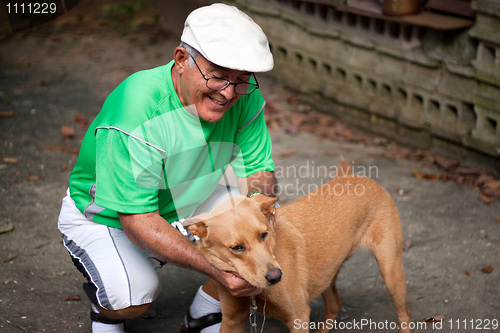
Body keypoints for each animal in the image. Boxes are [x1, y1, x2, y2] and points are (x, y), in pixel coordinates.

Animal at [184, 160, 410, 330]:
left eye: (264, 234)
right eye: (236, 248)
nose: (276, 276)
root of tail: (359, 178)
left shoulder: (299, 317)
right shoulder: (232, 320)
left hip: (390, 270)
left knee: (404, 313)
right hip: (327, 271)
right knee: (335, 304)